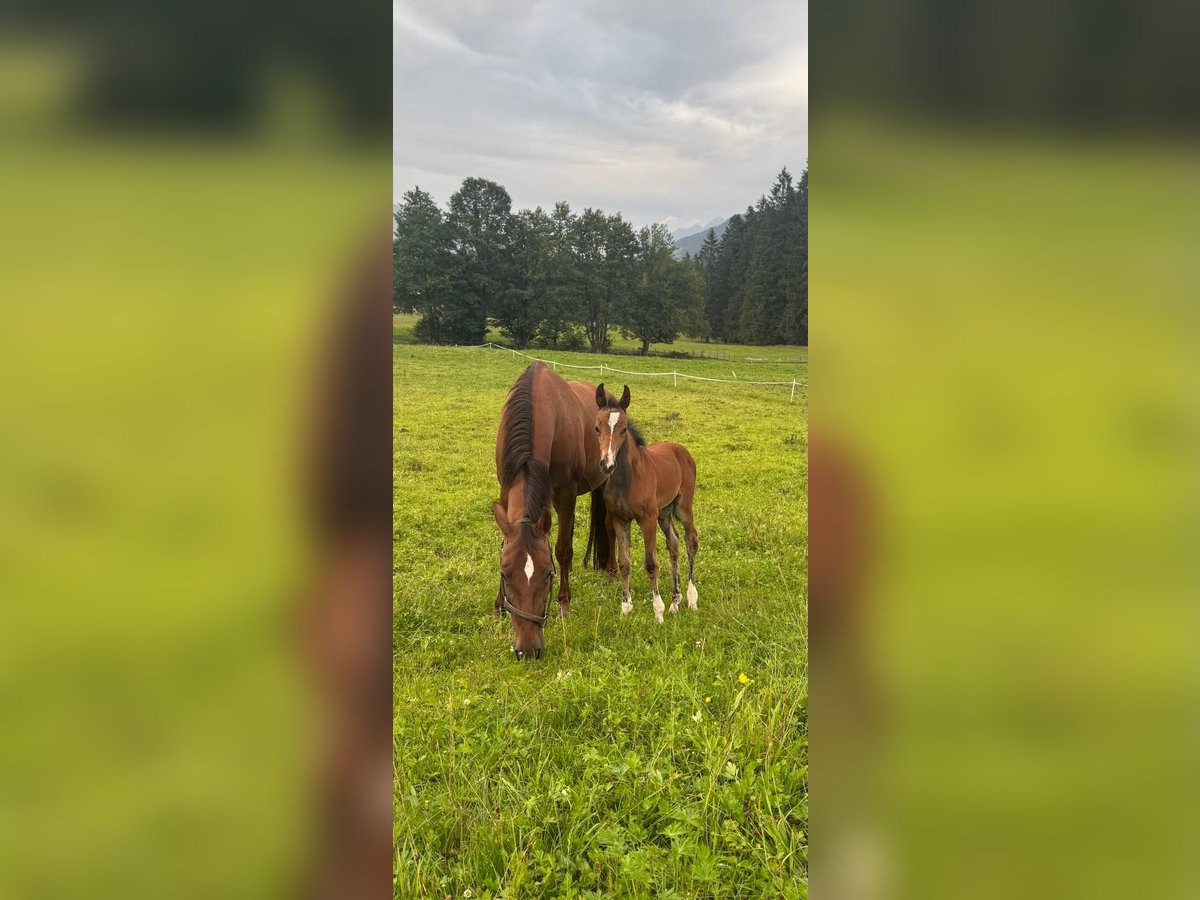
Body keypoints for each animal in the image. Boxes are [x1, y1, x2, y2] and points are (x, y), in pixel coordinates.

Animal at [494, 362, 616, 659]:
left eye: (547, 575)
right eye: (505, 575)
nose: (527, 650)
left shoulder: (565, 494)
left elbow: (562, 550)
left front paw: (564, 604)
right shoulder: (506, 490)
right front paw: (499, 604)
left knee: (609, 526)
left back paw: (611, 572)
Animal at [593, 384, 699, 623]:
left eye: (624, 429)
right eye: (596, 428)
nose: (607, 465)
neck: (627, 479)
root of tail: (681, 449)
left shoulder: (647, 519)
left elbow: (651, 563)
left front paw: (658, 612)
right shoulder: (619, 519)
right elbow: (624, 562)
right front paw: (625, 607)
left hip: (682, 508)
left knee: (691, 541)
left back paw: (691, 598)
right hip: (664, 512)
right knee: (674, 544)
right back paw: (675, 602)